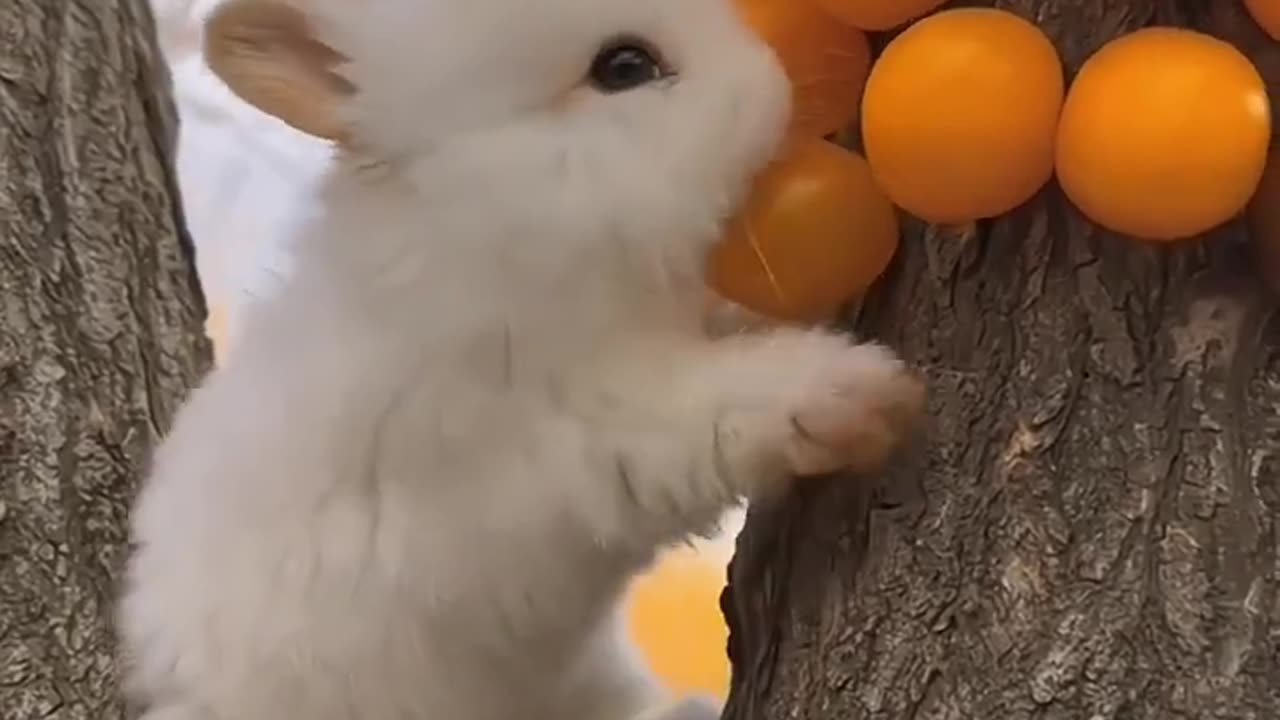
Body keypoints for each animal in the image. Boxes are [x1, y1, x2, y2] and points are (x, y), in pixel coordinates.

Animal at [117, 1, 921, 717]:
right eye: (624, 66)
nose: (772, 79)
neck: (500, 220)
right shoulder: (581, 435)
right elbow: (714, 411)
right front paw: (861, 394)